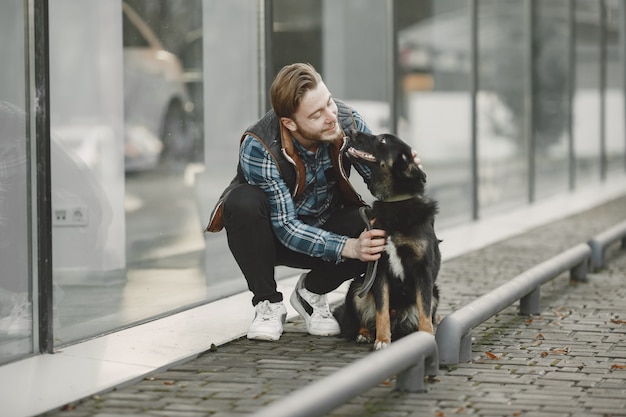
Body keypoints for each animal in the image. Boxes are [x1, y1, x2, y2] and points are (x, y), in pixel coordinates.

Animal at [332, 130, 438, 348]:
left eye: (382, 140)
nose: (350, 131)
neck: (395, 202)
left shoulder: (423, 270)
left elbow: (424, 309)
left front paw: (426, 336)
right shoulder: (378, 268)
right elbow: (381, 312)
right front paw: (382, 340)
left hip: (436, 293)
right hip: (357, 287)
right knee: (360, 321)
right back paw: (364, 333)